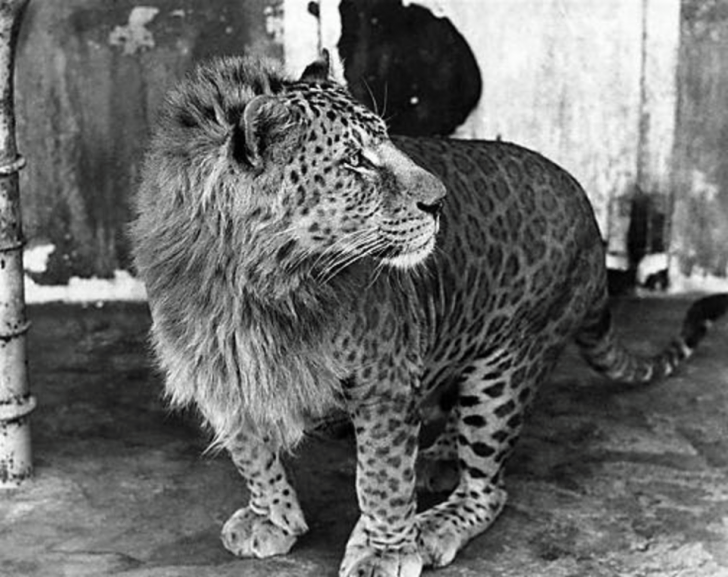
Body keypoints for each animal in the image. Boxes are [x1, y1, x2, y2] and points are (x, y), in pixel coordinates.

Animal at [130, 50, 728, 577]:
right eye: (356, 161)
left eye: (387, 142)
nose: (439, 202)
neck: (258, 287)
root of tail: (591, 218)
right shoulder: (221, 370)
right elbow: (251, 453)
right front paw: (271, 519)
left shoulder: (385, 382)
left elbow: (382, 476)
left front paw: (386, 551)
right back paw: (439, 458)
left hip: (507, 368)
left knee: (489, 488)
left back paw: (436, 521)